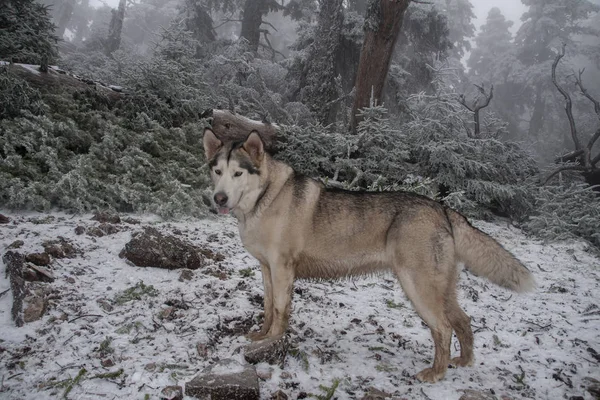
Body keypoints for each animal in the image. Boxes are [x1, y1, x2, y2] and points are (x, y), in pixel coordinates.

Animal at [203, 127, 536, 382]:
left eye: (237, 173)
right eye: (217, 172)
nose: (219, 198)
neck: (264, 198)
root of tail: (441, 208)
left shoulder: (283, 269)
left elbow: (280, 310)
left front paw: (274, 341)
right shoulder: (266, 269)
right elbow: (268, 307)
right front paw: (261, 336)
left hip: (418, 288)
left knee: (442, 329)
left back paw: (436, 373)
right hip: (442, 290)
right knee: (463, 321)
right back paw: (463, 362)